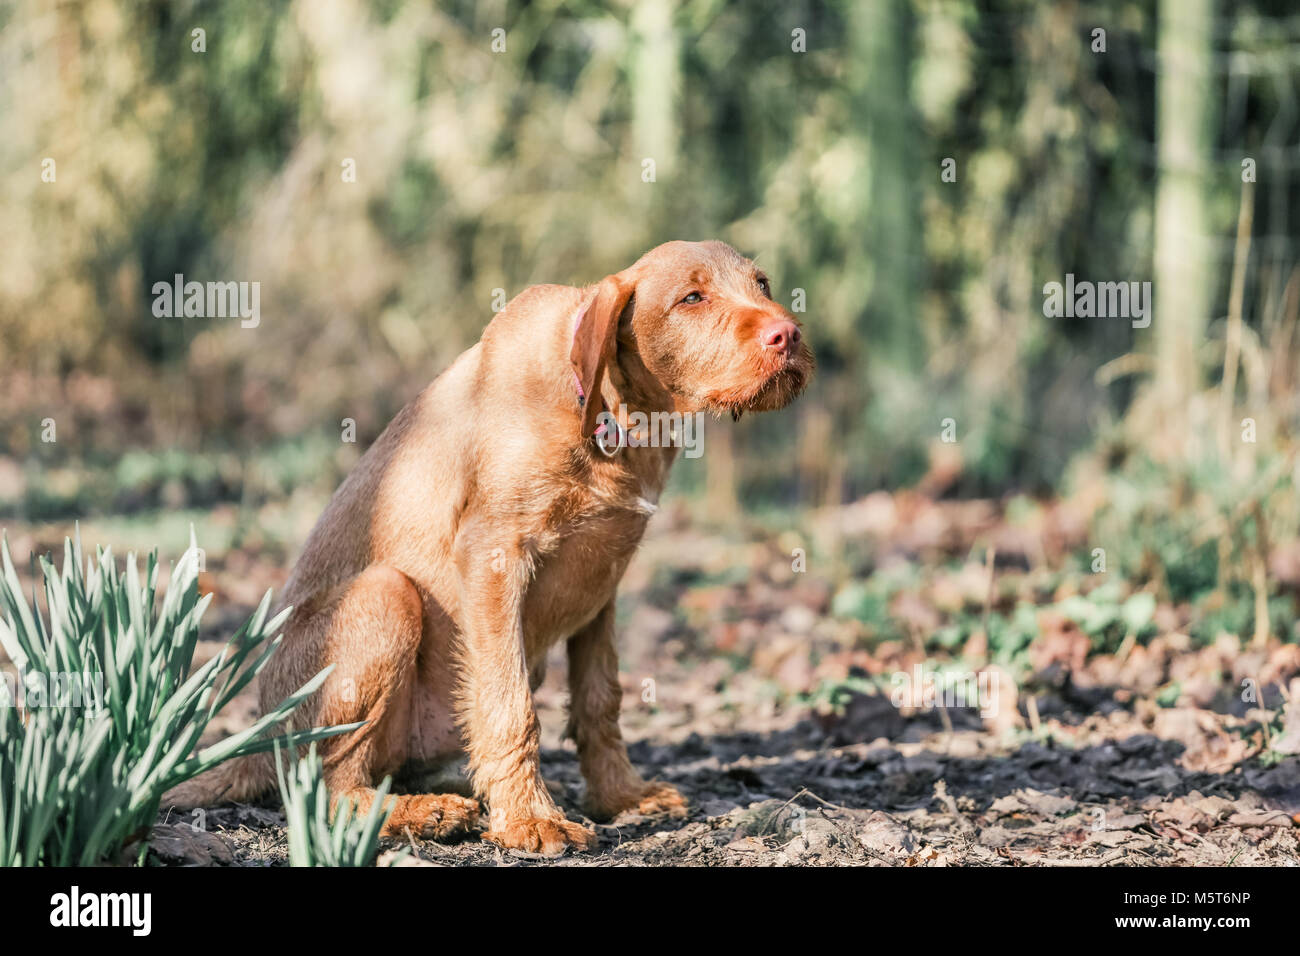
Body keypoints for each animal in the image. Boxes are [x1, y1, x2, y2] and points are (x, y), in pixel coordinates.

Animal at [162, 243, 811, 858]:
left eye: (763, 284)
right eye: (692, 298)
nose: (789, 334)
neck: (603, 410)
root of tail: (256, 739)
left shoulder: (602, 583)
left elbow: (600, 701)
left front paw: (620, 796)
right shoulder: (495, 556)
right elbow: (510, 703)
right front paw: (530, 820)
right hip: (385, 595)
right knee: (327, 787)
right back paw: (421, 812)